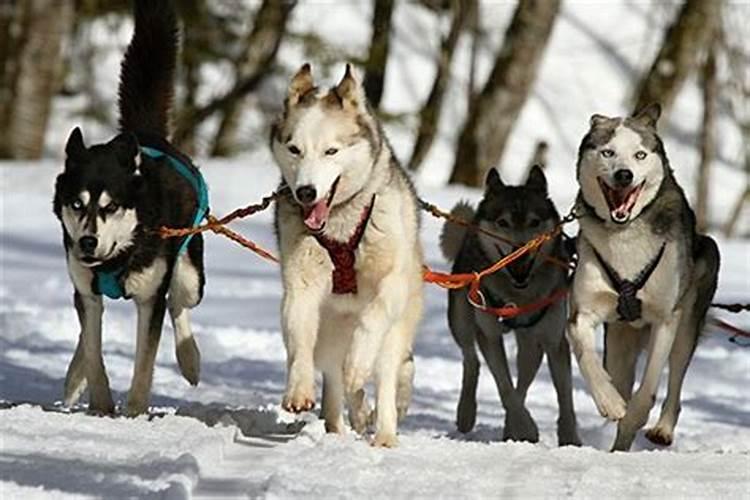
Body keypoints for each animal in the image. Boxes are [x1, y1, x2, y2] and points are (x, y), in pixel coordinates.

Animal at [52, 0, 206, 414]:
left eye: (111, 207)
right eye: (77, 204)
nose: (88, 242)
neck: (118, 256)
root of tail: (147, 135)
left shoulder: (150, 299)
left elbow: (144, 362)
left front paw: (134, 412)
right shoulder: (87, 291)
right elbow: (93, 348)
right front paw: (101, 404)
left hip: (189, 275)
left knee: (179, 304)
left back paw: (190, 361)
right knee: (85, 332)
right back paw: (73, 378)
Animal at [272, 64, 426, 448]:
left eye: (331, 151)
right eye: (294, 149)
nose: (306, 192)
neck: (340, 225)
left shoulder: (391, 284)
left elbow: (372, 319)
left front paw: (358, 363)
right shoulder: (300, 285)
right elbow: (299, 340)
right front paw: (299, 389)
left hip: (396, 332)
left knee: (385, 376)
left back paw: (384, 433)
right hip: (328, 335)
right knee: (335, 381)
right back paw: (342, 424)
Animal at [440, 166, 580, 444]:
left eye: (534, 222)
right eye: (503, 222)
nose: (521, 250)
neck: (518, 294)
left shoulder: (554, 340)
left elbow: (565, 397)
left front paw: (570, 439)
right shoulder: (490, 335)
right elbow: (505, 387)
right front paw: (525, 428)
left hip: (532, 344)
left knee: (524, 380)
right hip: (461, 321)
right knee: (471, 360)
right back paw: (466, 413)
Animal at [568, 103, 724, 452]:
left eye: (640, 155)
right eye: (608, 152)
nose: (624, 175)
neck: (625, 234)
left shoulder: (665, 319)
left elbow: (649, 387)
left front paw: (635, 415)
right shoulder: (582, 313)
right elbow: (588, 358)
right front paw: (609, 402)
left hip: (687, 323)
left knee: (675, 380)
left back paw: (662, 429)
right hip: (619, 344)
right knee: (620, 375)